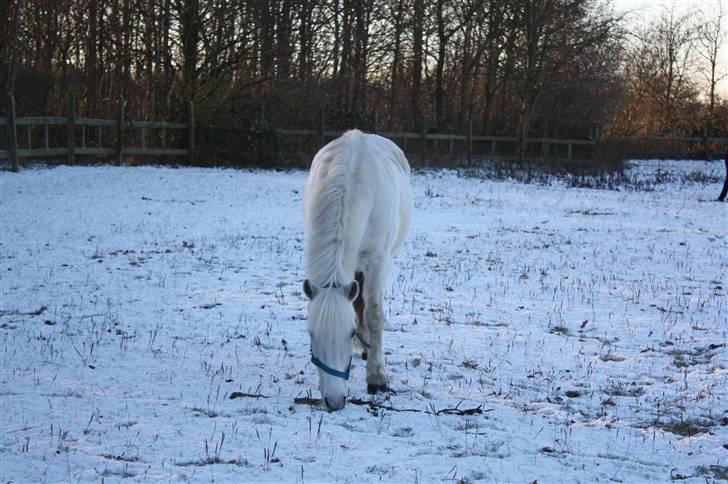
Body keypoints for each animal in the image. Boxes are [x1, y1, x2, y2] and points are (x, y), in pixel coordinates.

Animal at [302, 129, 412, 410]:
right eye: (311, 334)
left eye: (348, 332)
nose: (333, 400)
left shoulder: (377, 262)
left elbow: (374, 315)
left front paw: (377, 377)